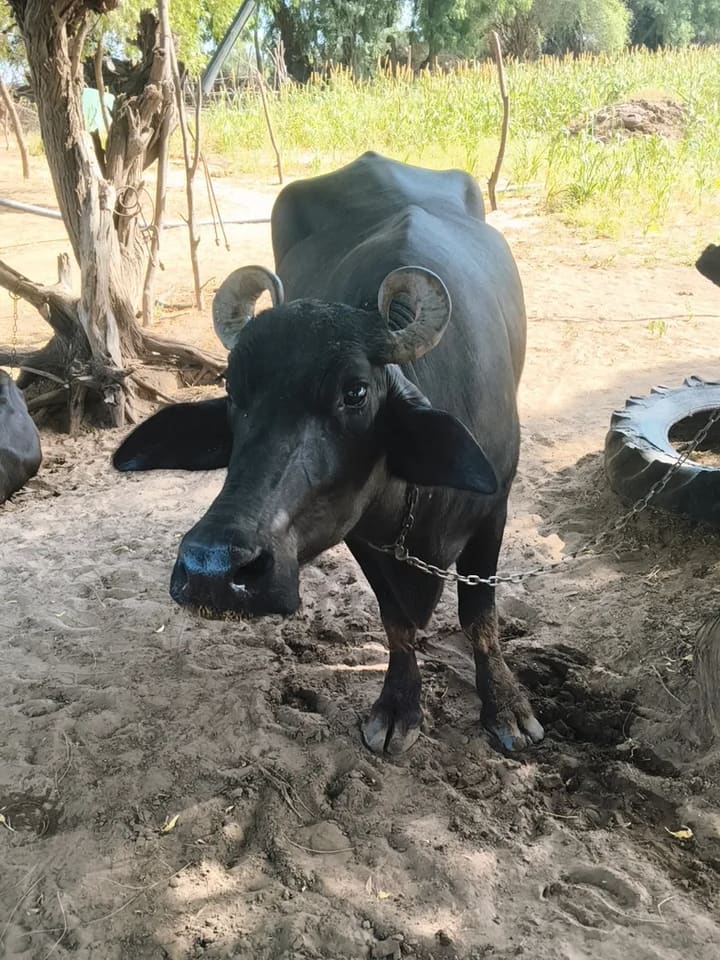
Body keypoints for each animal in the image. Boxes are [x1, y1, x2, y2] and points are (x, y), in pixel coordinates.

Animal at [114, 152, 543, 754]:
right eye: (234, 392)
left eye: (355, 391)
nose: (212, 569)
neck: (421, 500)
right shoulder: (360, 532)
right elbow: (397, 621)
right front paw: (398, 706)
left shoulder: (495, 509)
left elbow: (479, 616)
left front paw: (505, 706)